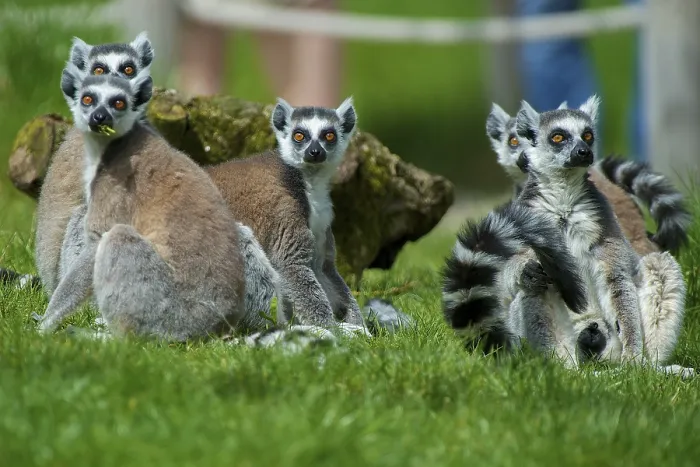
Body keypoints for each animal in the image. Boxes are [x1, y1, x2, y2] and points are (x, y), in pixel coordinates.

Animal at [33, 69, 247, 341]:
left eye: (118, 103)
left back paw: (114, 337)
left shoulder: (115, 183)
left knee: (117, 240)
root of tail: (222, 324)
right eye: (88, 99)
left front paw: (45, 325)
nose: (99, 117)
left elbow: (96, 243)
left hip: (171, 311)